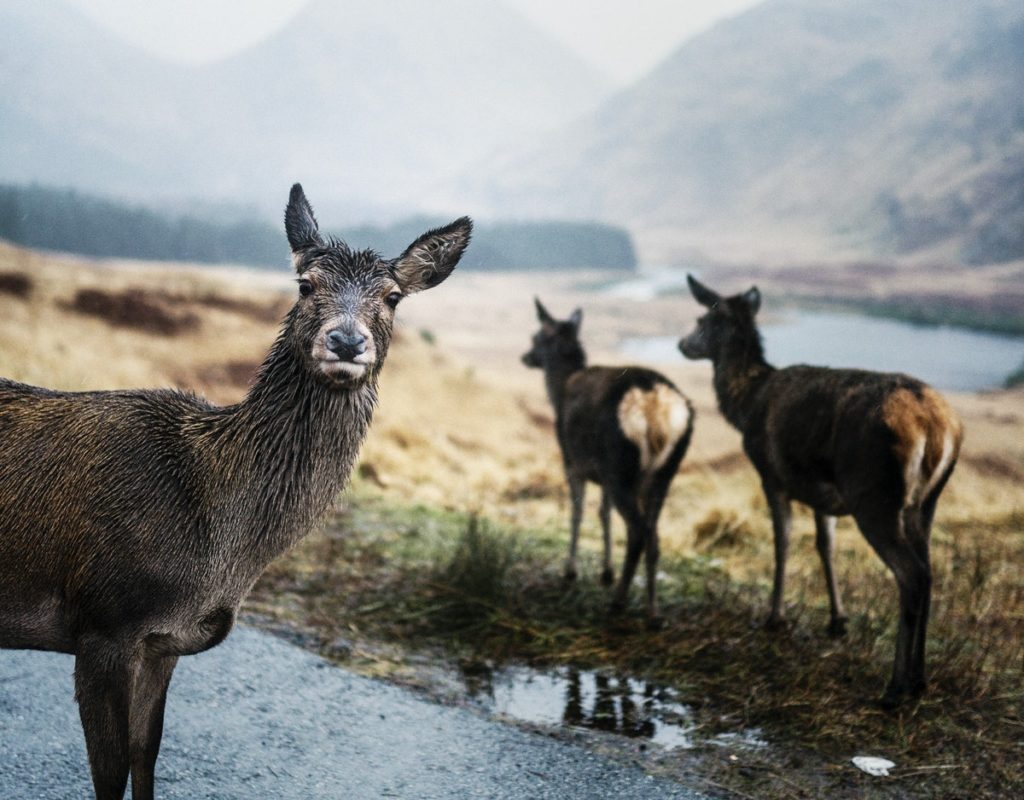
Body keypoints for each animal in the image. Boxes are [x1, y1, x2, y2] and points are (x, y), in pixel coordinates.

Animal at [0, 184, 471, 794]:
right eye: (305, 284)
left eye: (392, 297)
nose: (346, 341)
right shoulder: (104, 621)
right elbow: (110, 773)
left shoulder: (163, 642)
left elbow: (145, 755)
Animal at [520, 299, 696, 622]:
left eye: (536, 337)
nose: (525, 356)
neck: (560, 390)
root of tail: (655, 407)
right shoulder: (601, 472)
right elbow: (604, 513)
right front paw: (606, 572)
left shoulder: (572, 461)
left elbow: (577, 511)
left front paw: (571, 571)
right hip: (663, 471)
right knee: (653, 536)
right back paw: (653, 611)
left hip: (621, 466)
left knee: (638, 531)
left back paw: (618, 602)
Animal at [679, 274, 958, 704]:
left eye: (702, 318)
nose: (682, 343)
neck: (746, 405)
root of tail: (936, 427)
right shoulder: (823, 494)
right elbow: (826, 547)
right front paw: (837, 620)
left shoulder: (772, 476)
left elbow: (782, 542)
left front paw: (774, 618)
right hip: (925, 503)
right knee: (928, 572)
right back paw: (920, 678)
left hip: (874, 494)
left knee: (911, 575)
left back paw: (895, 688)